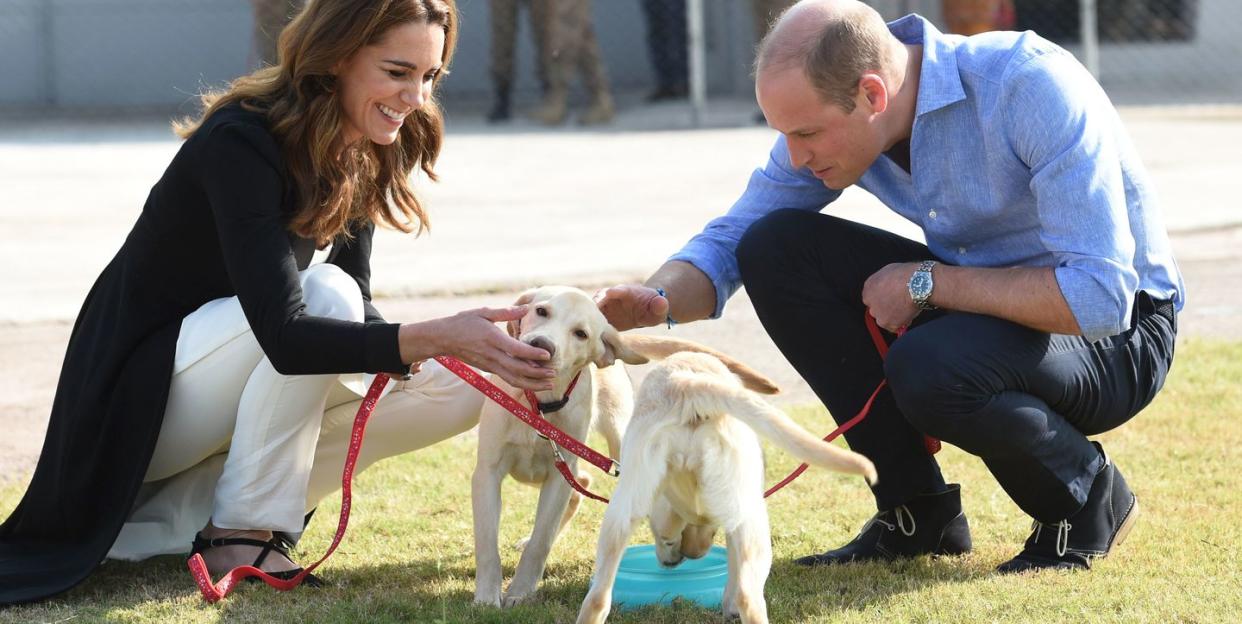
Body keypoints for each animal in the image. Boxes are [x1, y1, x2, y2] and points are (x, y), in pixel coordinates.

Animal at [576, 350, 879, 624]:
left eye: (666, 541)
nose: (677, 559)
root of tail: (687, 385)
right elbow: (734, 571)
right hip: (751, 519)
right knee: (748, 595)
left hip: (620, 513)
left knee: (597, 598)